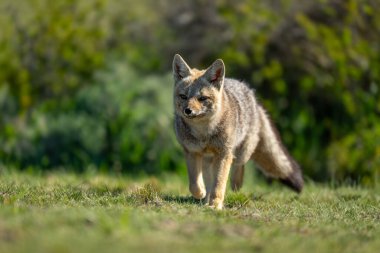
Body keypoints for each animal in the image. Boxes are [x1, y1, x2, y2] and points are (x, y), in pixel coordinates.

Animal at [173, 53, 302, 210]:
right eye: (183, 96)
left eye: (202, 98)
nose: (188, 111)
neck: (204, 134)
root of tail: (254, 98)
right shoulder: (192, 152)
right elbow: (194, 184)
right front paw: (202, 194)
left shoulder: (224, 154)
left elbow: (219, 184)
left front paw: (216, 205)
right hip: (209, 160)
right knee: (210, 179)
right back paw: (206, 199)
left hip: (241, 153)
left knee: (239, 166)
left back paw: (236, 185)